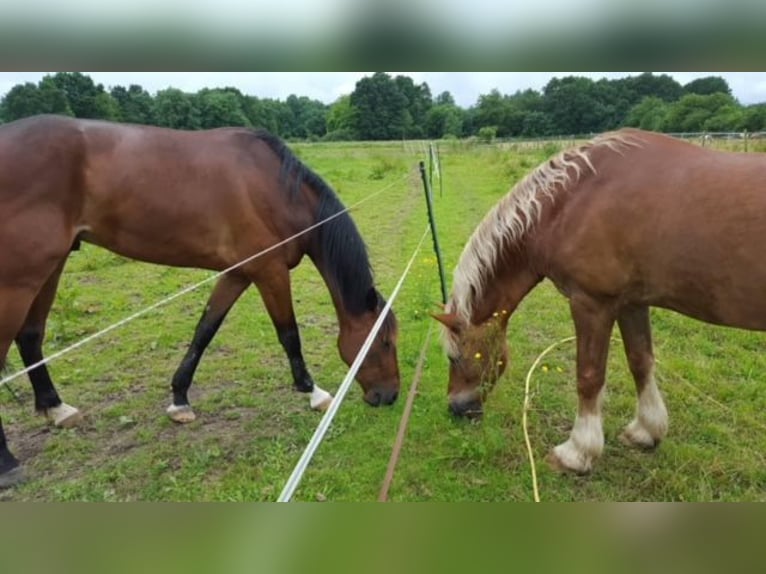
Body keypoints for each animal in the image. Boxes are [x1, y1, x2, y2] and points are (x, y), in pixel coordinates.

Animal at [1, 115, 402, 488]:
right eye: (384, 342)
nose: (390, 396)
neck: (275, 188)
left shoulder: (237, 273)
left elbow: (205, 330)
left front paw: (180, 399)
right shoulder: (269, 271)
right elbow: (289, 334)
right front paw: (314, 393)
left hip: (51, 265)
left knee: (31, 337)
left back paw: (56, 408)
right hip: (20, 278)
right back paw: (8, 463)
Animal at [436, 130, 766, 476]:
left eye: (454, 357)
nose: (456, 408)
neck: (570, 201)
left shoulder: (591, 303)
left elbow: (589, 375)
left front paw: (577, 452)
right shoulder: (631, 303)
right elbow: (641, 361)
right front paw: (647, 430)